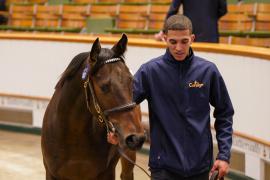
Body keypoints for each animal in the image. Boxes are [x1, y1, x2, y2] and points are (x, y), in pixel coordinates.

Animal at [40, 34, 146, 180]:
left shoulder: (106, 173)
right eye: (104, 87)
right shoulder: (51, 174)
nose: (136, 138)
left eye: (131, 80)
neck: (74, 136)